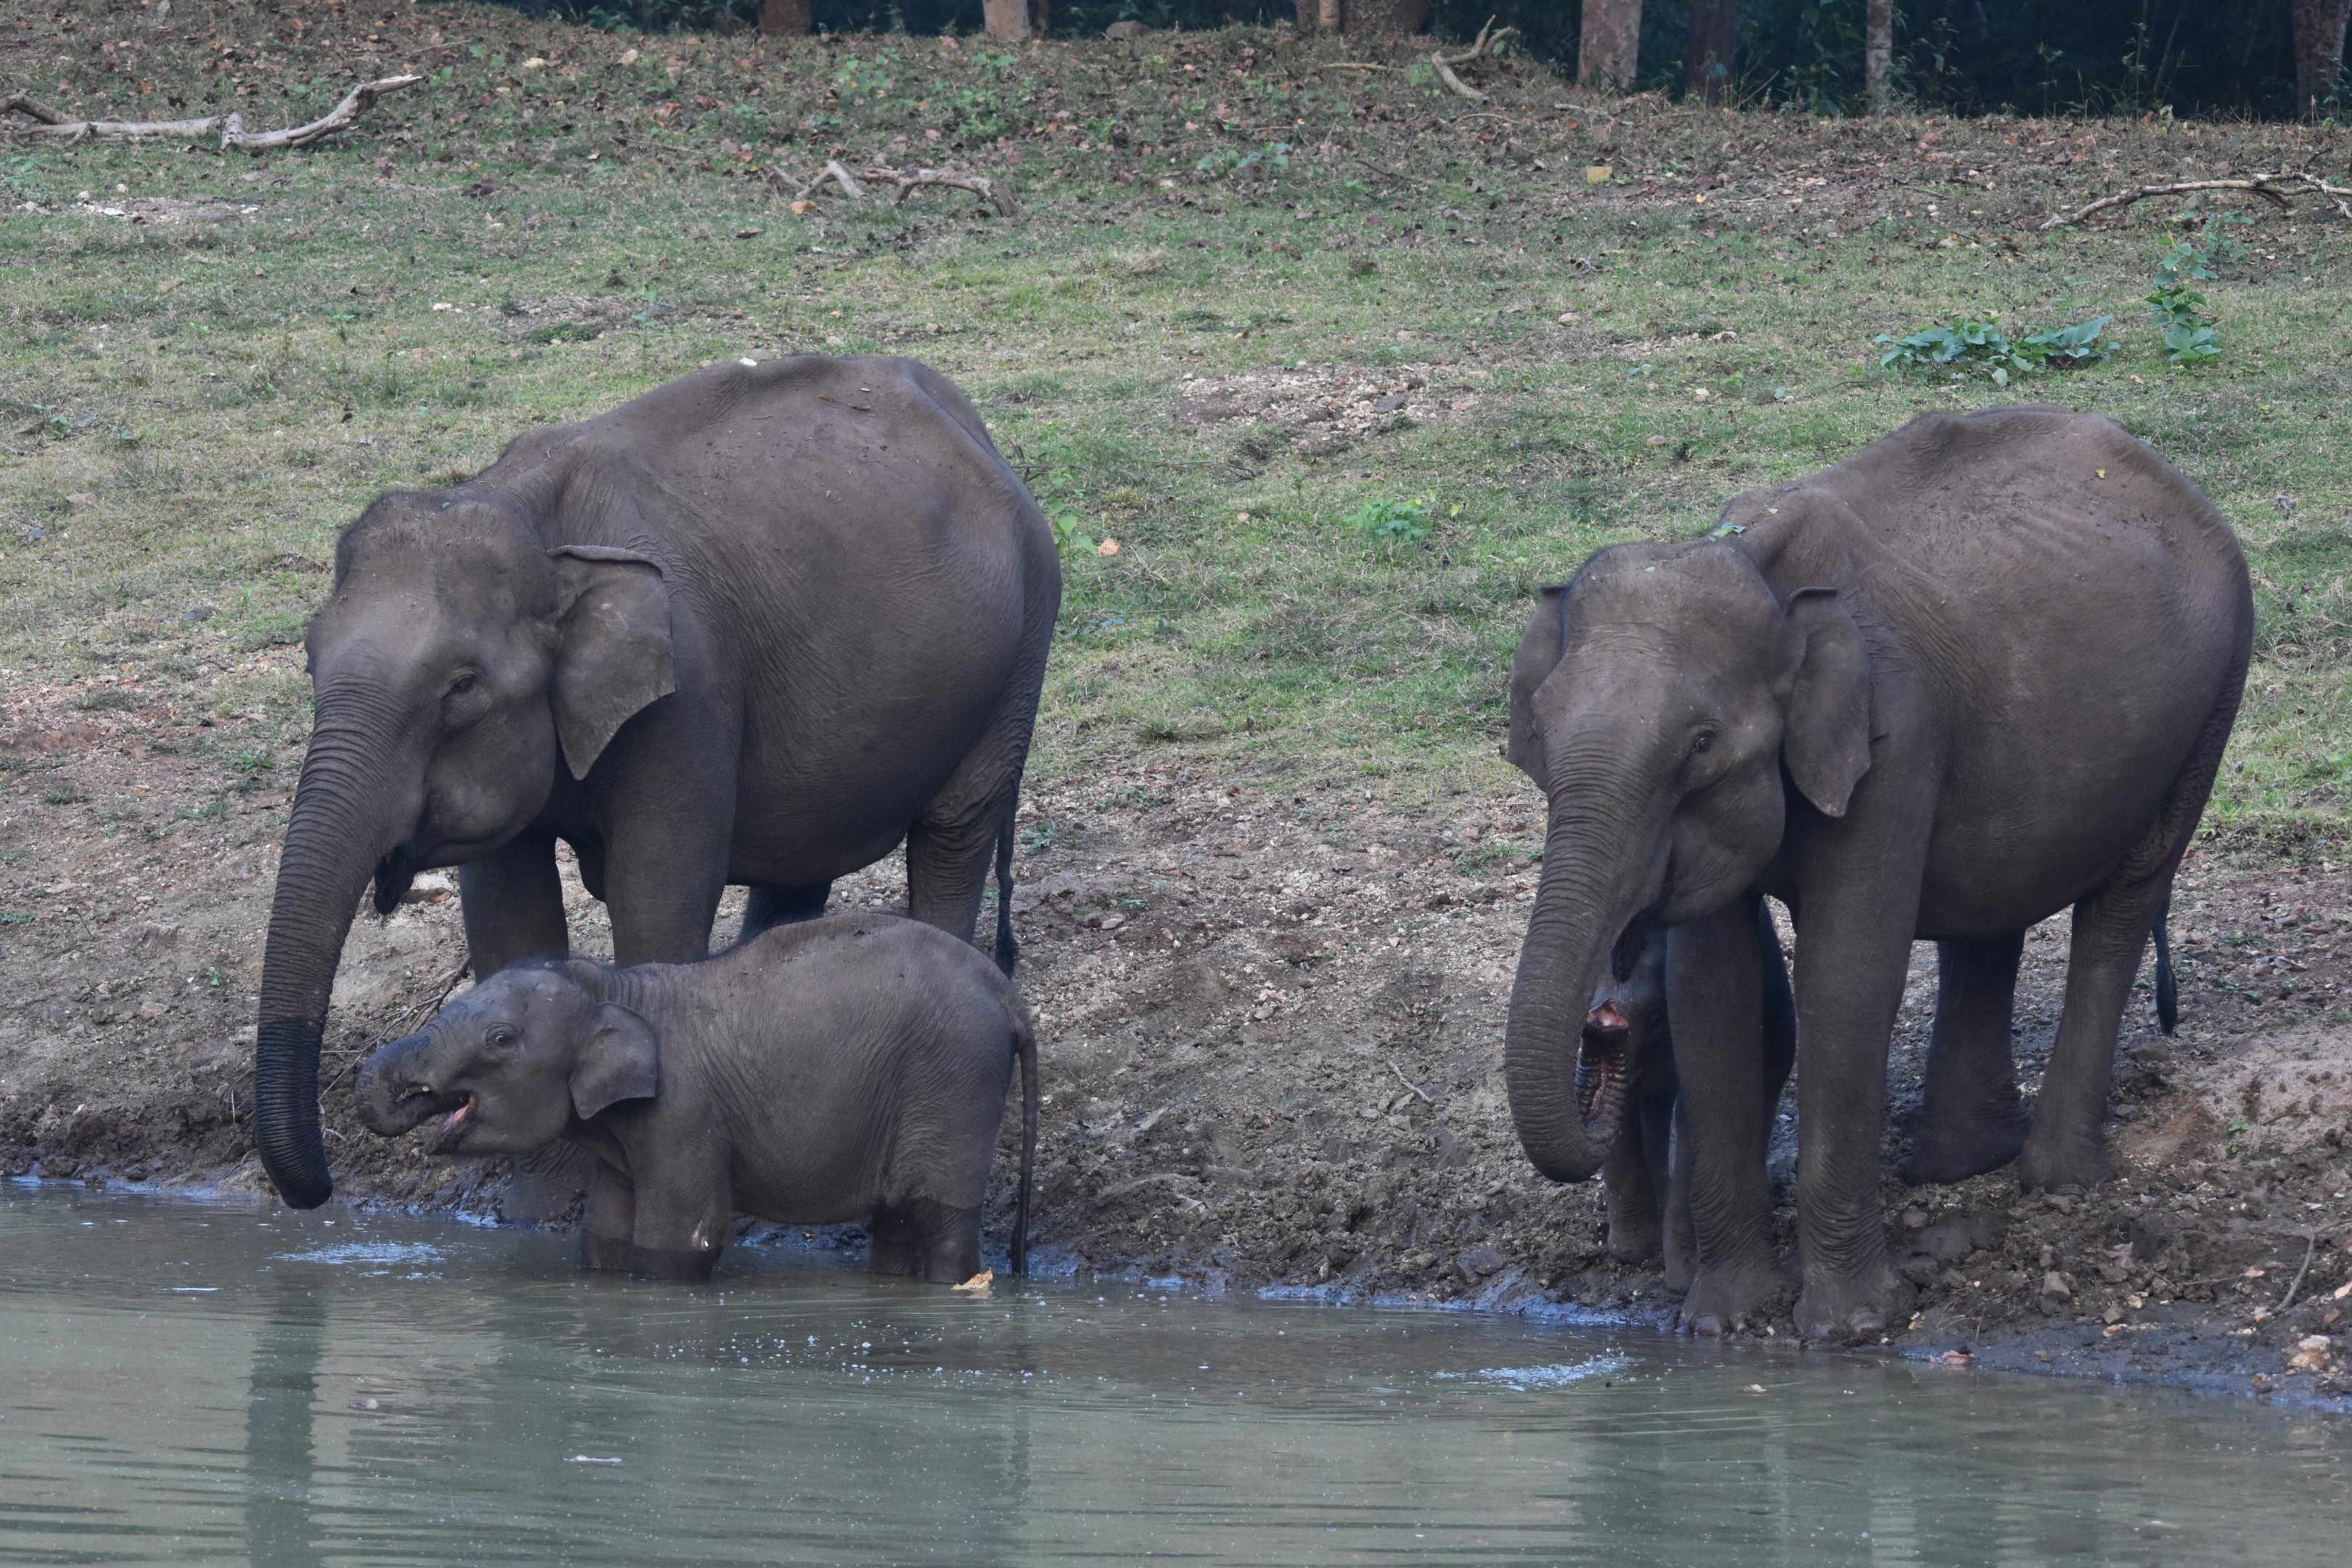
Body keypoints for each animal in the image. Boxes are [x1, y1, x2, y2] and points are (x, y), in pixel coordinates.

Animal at [256, 355, 1059, 1210]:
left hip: (1020, 650)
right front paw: (540, 1211)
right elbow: (509, 914)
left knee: (955, 830)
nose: (320, 1189)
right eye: (309, 659)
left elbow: (658, 895)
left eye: (462, 686)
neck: (535, 521)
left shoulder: (690, 698)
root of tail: (972, 425)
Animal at [354, 913, 1038, 1283]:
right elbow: (604, 1235)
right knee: (896, 1222)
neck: (611, 984)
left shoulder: (682, 1116)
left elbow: (681, 1240)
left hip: (953, 1080)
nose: (414, 1095)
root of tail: (1004, 989)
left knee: (939, 1220)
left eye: (500, 1039)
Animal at [1502, 406, 2249, 1340]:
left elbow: (1846, 973)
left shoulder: (1894, 735)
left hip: (2216, 694)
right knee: (1990, 908)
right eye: (1540, 733)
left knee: (2123, 899)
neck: (1766, 578)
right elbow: (1715, 993)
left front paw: (1849, 1327)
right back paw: (1962, 1165)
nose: (1602, 1026)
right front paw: (1725, 1322)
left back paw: (2055, 1177)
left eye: (1701, 745)